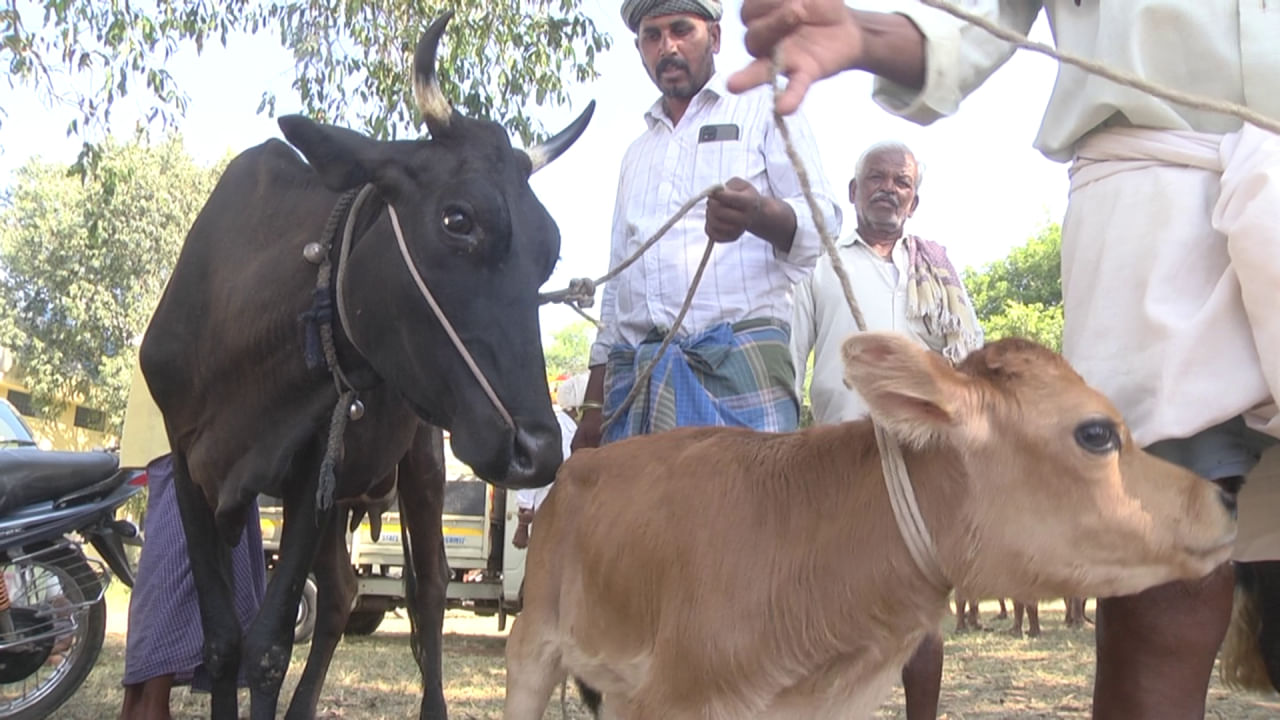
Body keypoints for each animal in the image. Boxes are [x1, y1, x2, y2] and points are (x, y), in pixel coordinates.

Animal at [138, 12, 588, 717]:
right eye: (458, 218)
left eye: (550, 252)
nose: (538, 449)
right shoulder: (188, 461)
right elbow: (221, 643)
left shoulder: (310, 466)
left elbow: (266, 647)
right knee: (344, 593)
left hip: (423, 462)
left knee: (428, 593)